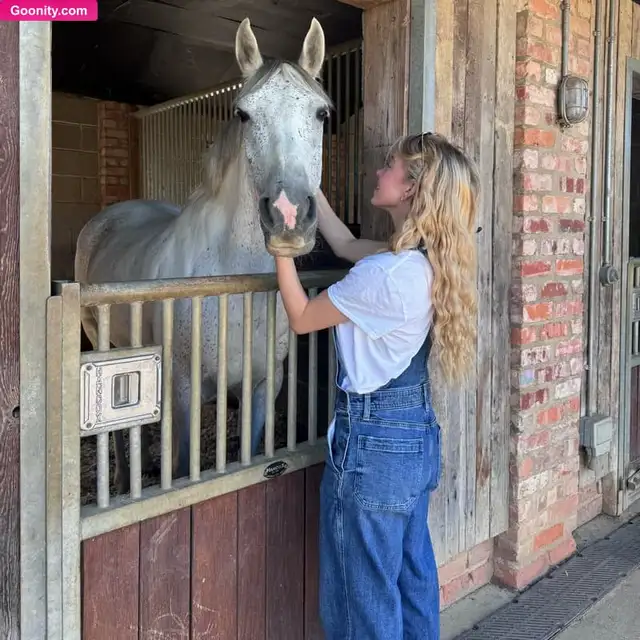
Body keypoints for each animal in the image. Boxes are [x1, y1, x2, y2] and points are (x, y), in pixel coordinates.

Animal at [74, 17, 331, 494]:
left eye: (321, 112)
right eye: (243, 113)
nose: (288, 216)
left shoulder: (263, 386)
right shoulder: (184, 392)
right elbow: (182, 467)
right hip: (104, 346)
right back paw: (121, 477)